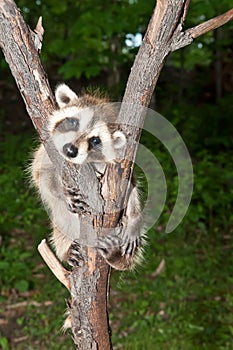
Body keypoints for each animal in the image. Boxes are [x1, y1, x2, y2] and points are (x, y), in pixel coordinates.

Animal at [31, 84, 144, 270]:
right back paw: (66, 250)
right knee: (60, 232)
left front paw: (134, 218)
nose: (70, 150)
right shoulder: (47, 152)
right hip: (61, 227)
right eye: (73, 122)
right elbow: (42, 175)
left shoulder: (119, 167)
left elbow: (131, 184)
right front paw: (64, 193)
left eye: (95, 140)